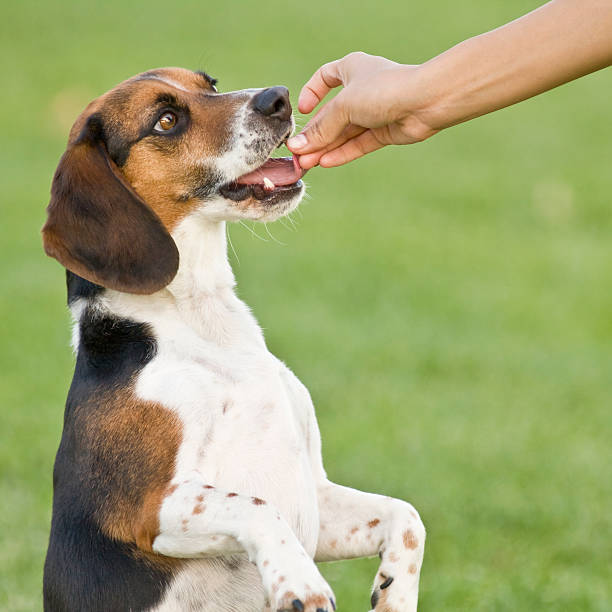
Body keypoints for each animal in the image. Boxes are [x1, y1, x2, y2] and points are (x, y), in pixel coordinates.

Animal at [41, 68, 426, 612]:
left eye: (211, 84)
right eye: (165, 120)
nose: (279, 98)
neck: (204, 321)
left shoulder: (317, 500)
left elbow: (406, 515)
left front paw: (395, 594)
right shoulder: (149, 506)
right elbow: (258, 506)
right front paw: (299, 582)